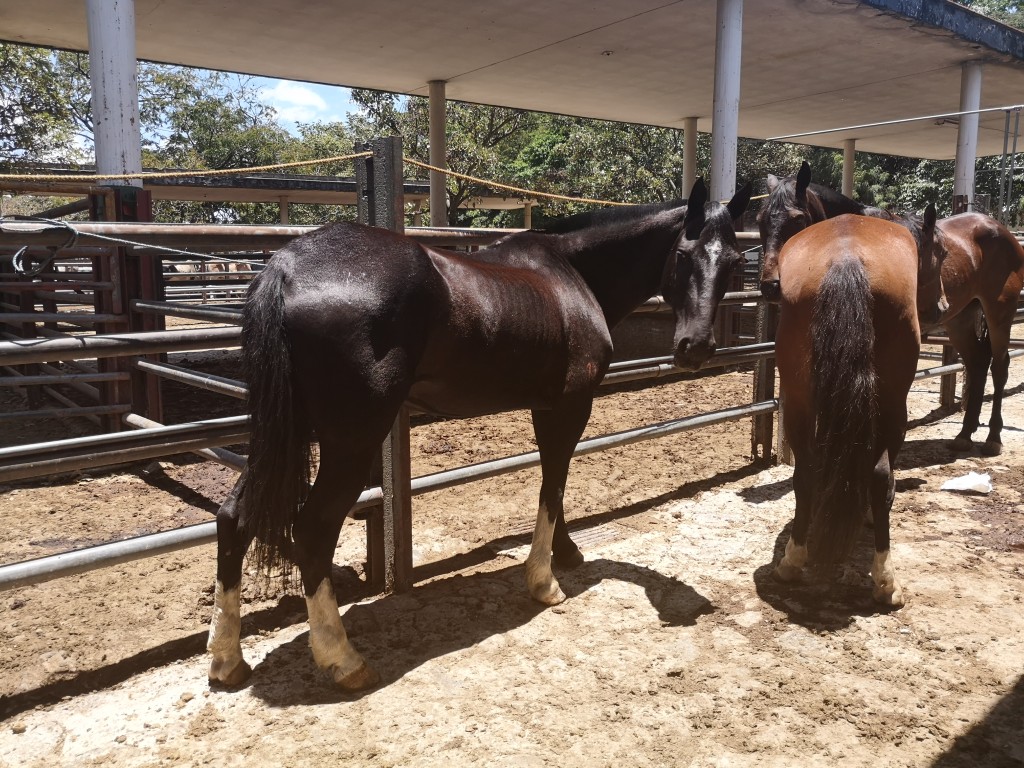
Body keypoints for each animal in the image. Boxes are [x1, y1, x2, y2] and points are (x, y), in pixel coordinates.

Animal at [206, 179, 753, 690]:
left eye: (732, 260)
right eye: (682, 255)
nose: (695, 347)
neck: (571, 274)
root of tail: (285, 268)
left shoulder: (546, 407)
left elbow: (554, 479)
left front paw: (566, 553)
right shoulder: (570, 406)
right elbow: (554, 483)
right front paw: (544, 582)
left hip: (284, 433)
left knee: (234, 517)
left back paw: (227, 659)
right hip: (350, 441)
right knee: (312, 530)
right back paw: (343, 661)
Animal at [757, 162, 1024, 455]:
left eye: (797, 219)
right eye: (760, 221)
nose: (771, 286)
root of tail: (1000, 229)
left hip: (999, 313)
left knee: (999, 366)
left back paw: (993, 437)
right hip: (959, 320)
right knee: (977, 362)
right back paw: (965, 433)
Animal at [772, 209, 945, 607]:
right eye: (941, 254)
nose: (941, 307)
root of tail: (845, 259)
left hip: (799, 401)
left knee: (805, 472)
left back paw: (792, 560)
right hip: (893, 404)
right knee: (879, 473)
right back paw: (885, 581)